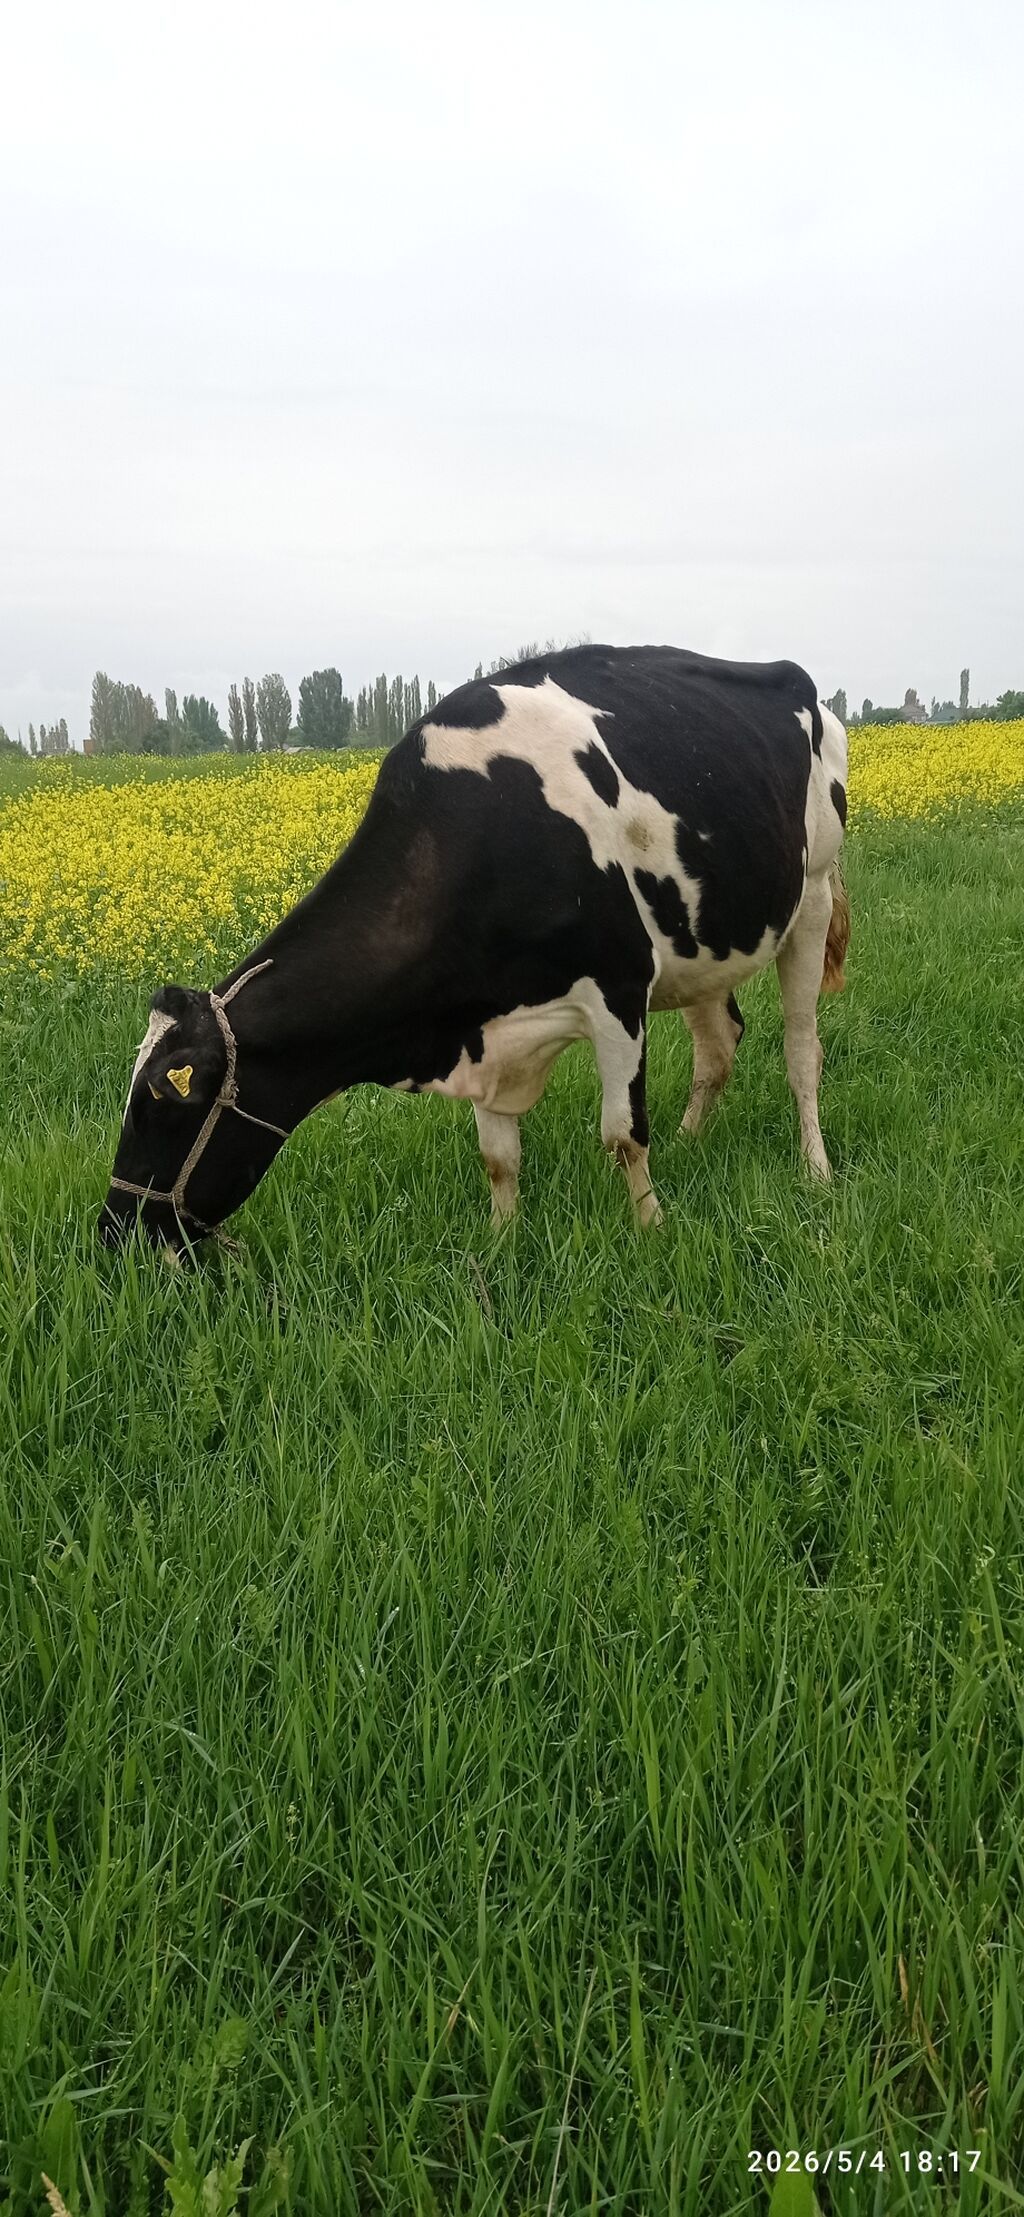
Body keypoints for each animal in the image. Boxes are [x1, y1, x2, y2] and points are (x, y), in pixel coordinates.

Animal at [99, 643, 849, 1253]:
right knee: (719, 1042)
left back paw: (815, 1170)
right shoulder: (484, 1023)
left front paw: (651, 1229)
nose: (114, 1229)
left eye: (162, 1102)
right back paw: (693, 1142)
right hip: (700, 943)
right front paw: (502, 1243)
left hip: (811, 895)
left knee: (800, 1050)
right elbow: (498, 1157)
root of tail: (805, 686)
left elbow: (623, 1133)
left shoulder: (618, 989)